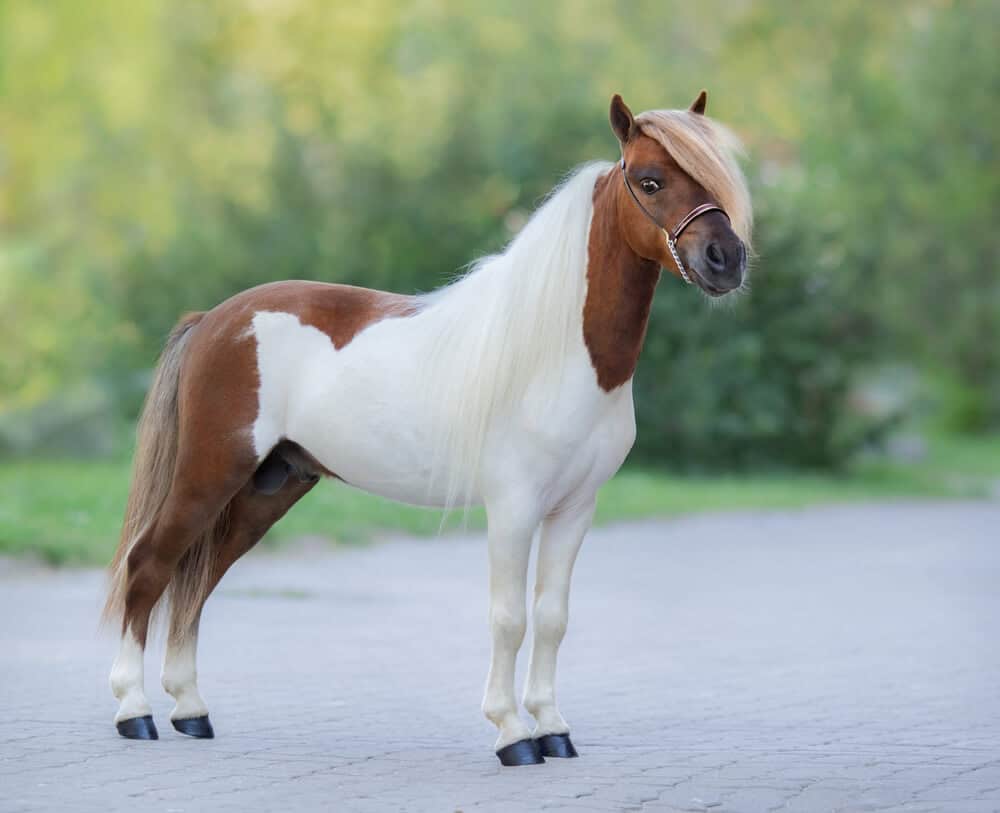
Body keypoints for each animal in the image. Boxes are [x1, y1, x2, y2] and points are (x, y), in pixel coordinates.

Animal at [102, 91, 752, 766]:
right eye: (650, 181)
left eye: (713, 177)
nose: (726, 260)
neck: (553, 353)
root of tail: (213, 321)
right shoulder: (514, 506)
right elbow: (509, 618)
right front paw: (513, 734)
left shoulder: (575, 508)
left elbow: (552, 616)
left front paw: (553, 728)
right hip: (208, 475)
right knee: (148, 567)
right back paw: (135, 712)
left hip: (268, 487)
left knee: (196, 582)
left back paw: (191, 709)